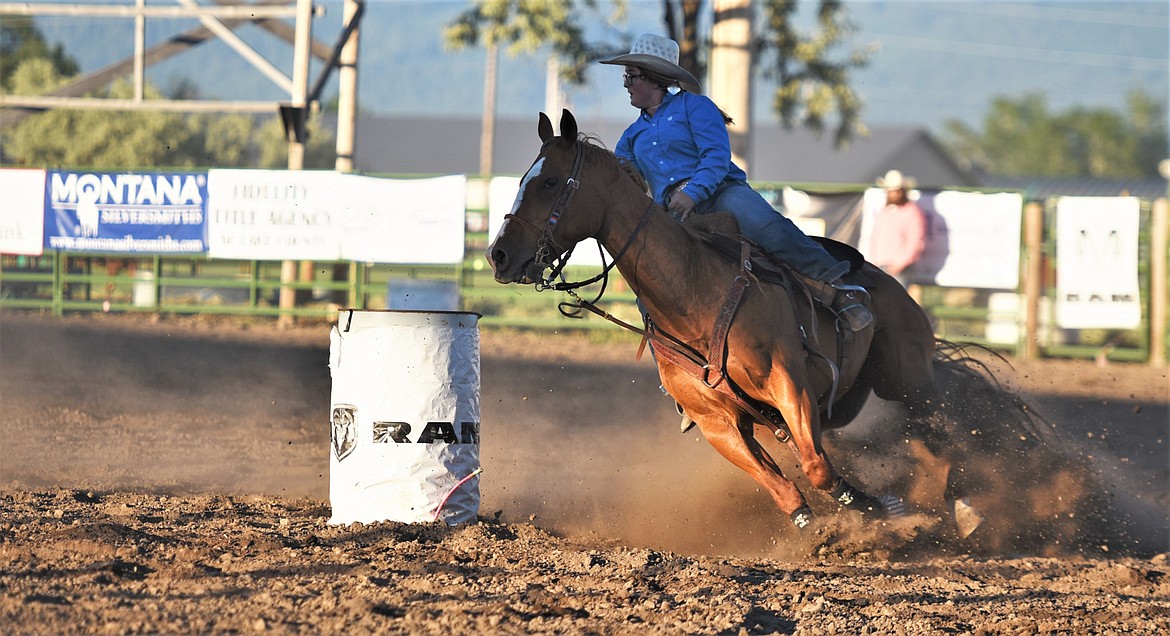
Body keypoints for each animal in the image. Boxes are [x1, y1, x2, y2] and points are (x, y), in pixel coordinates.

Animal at [489, 110, 1020, 537]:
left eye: (549, 183)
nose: (498, 256)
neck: (694, 297)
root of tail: (886, 281)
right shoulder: (717, 423)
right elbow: (784, 487)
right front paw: (822, 529)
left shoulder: (790, 384)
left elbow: (817, 468)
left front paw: (878, 507)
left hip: (907, 380)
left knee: (943, 435)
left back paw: (967, 508)